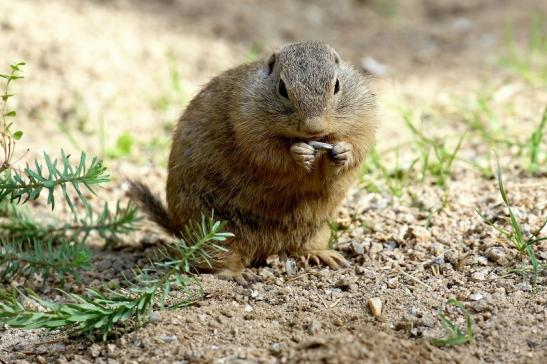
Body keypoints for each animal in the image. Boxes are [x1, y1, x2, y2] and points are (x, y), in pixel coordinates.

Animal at [130, 40, 376, 284]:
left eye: (337, 85)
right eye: (282, 88)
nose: (313, 127)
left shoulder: (363, 120)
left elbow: (359, 144)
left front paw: (344, 152)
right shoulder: (248, 126)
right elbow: (270, 155)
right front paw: (299, 153)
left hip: (318, 229)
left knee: (303, 248)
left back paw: (326, 255)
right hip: (217, 230)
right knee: (216, 261)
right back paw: (238, 274)